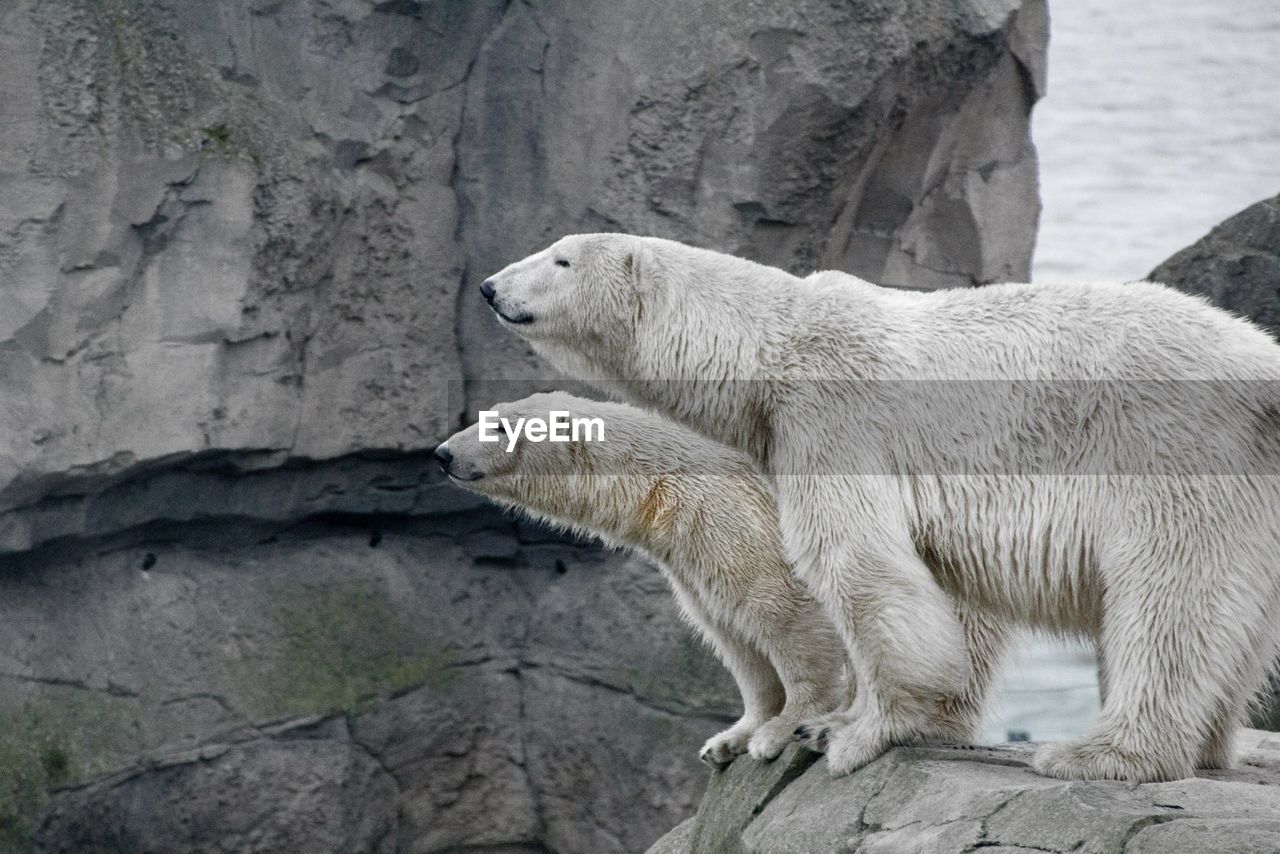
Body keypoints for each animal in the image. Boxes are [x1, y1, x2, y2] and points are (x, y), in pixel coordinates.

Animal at [437, 391, 849, 763]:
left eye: (502, 428)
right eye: (486, 417)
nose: (443, 454)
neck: (656, 481)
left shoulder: (726, 510)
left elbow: (779, 605)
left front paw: (777, 732)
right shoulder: (691, 554)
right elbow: (731, 634)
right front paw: (727, 740)